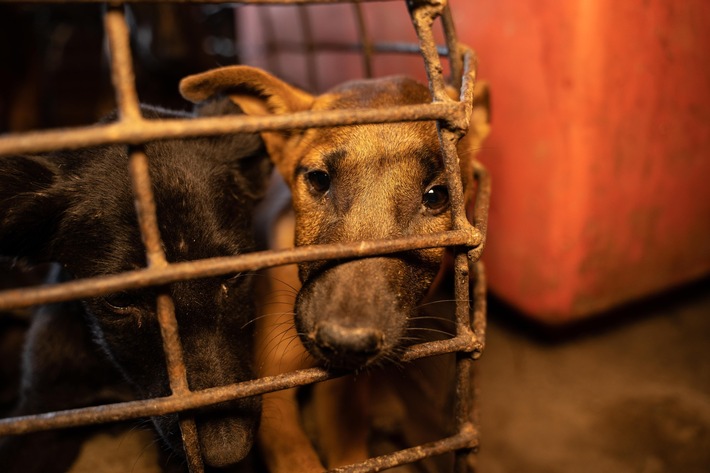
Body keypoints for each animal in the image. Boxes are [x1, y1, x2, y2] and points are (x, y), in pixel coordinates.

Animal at [179, 65, 490, 468]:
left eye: (437, 196)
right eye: (318, 179)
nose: (345, 343)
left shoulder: (340, 393)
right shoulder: (272, 386)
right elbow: (298, 460)